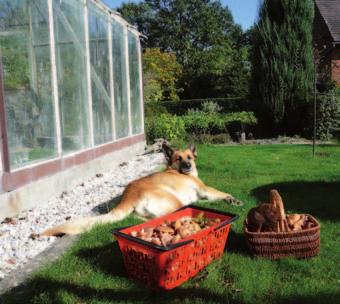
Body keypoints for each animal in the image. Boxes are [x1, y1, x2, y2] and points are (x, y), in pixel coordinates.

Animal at [42, 144, 242, 236]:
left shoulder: (201, 194)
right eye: (179, 158)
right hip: (174, 202)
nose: (188, 166)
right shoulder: (205, 189)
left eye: (189, 157)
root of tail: (128, 196)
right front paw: (232, 199)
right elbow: (221, 193)